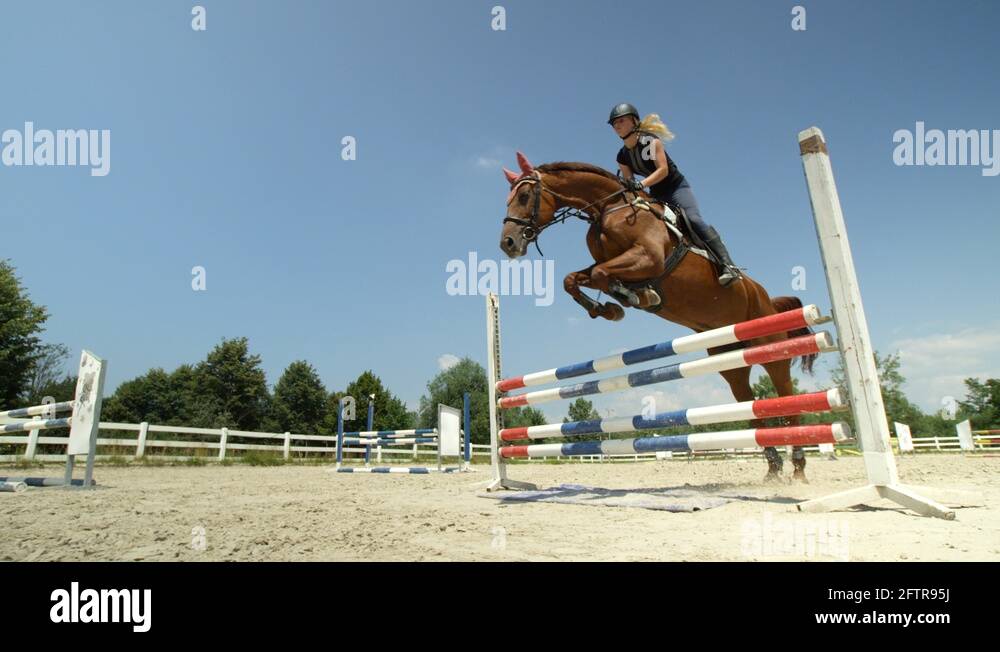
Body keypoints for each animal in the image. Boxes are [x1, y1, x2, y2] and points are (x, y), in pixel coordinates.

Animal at [498, 152, 818, 481]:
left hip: (771, 348)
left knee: (786, 397)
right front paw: (611, 308)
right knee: (750, 405)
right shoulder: (605, 263)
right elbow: (573, 279)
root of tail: (767, 299)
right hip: (730, 360)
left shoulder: (648, 258)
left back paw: (798, 468)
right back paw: (773, 468)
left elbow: (602, 275)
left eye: (524, 196)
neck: (607, 208)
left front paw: (631, 297)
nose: (508, 243)